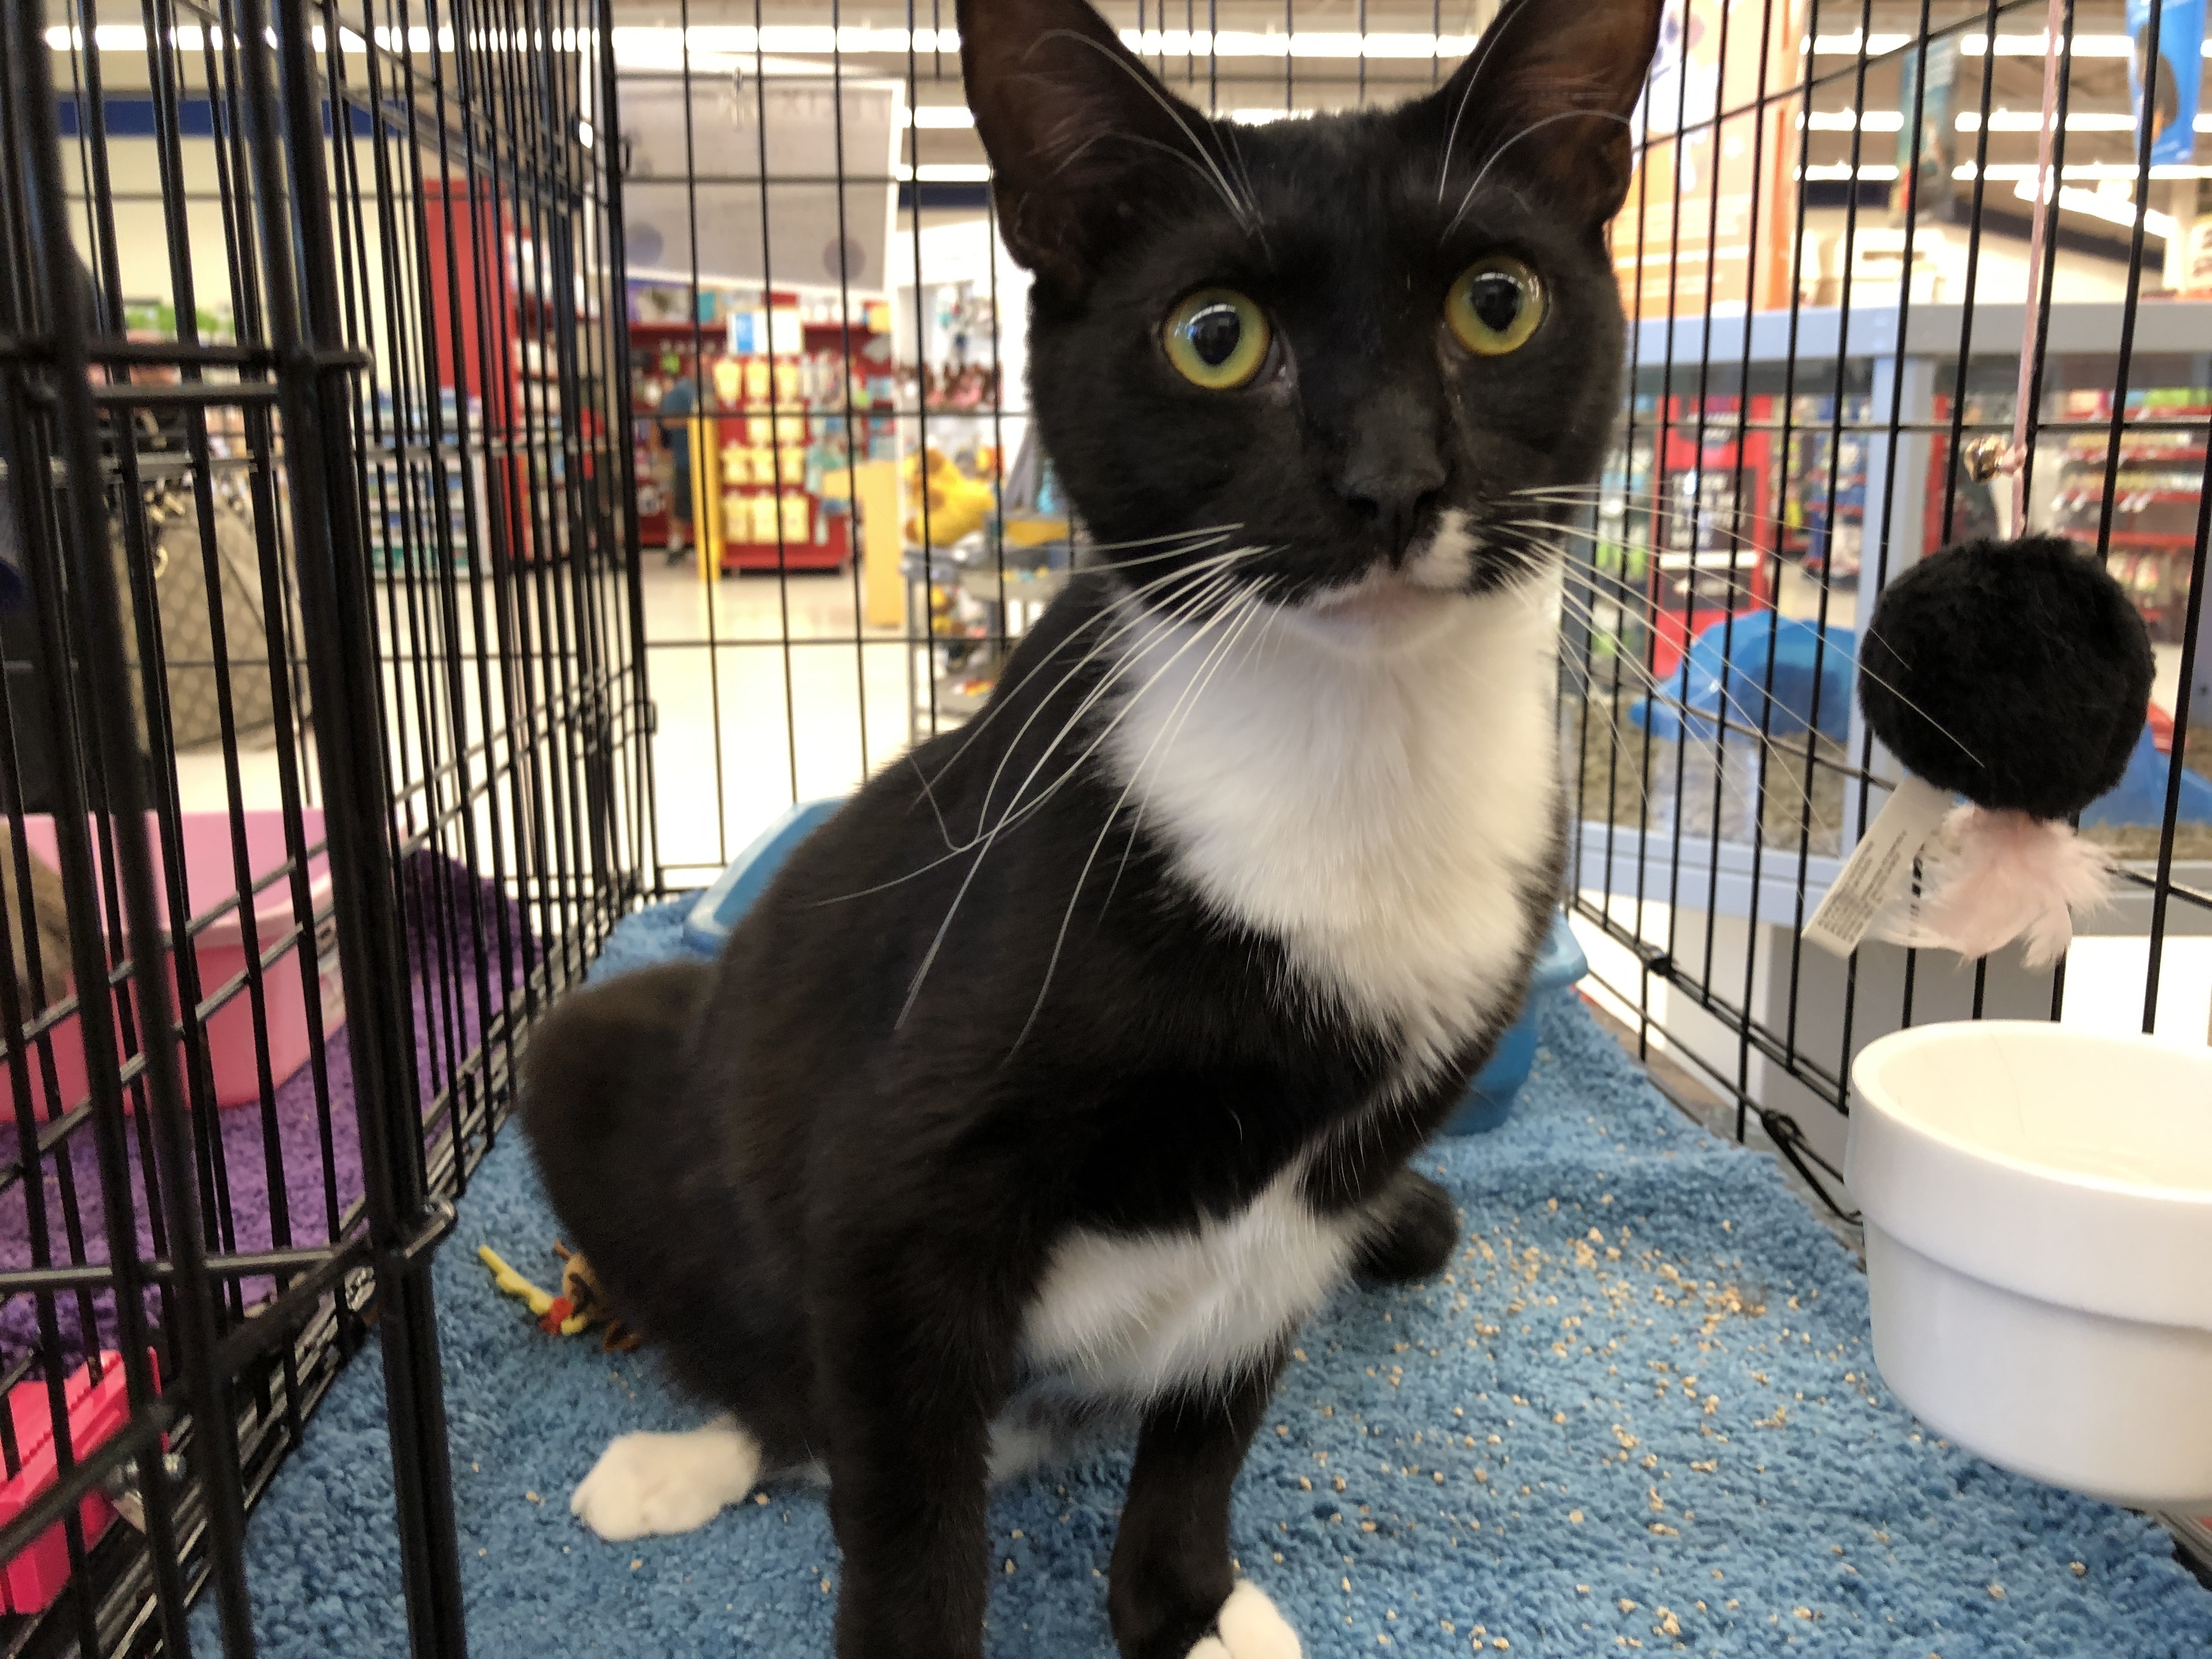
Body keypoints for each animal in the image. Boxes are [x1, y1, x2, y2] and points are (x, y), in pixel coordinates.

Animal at [522, 0, 1663, 1654]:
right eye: (1214, 336)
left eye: (1497, 304)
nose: (1392, 482)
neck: (1348, 749)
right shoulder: (895, 1200)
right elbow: (906, 1506)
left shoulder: (1317, 1190)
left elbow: (1216, 1406)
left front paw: (1184, 1605)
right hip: (610, 1054)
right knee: (784, 1377)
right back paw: (686, 1461)